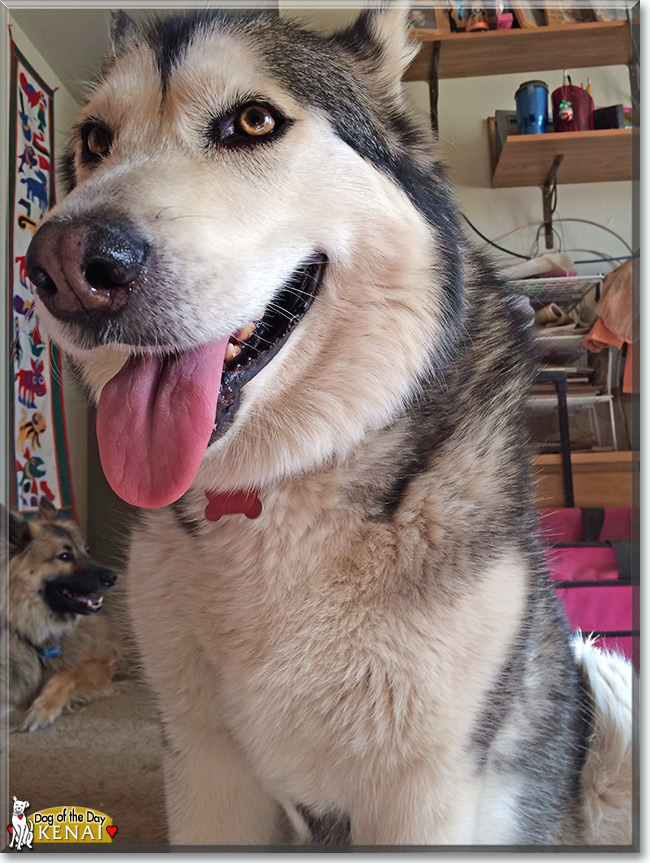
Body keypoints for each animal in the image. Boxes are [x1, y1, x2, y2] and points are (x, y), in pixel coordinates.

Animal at [24, 3, 628, 848]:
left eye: (252, 120)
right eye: (94, 141)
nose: (64, 266)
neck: (278, 490)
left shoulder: (428, 791)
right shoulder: (205, 767)